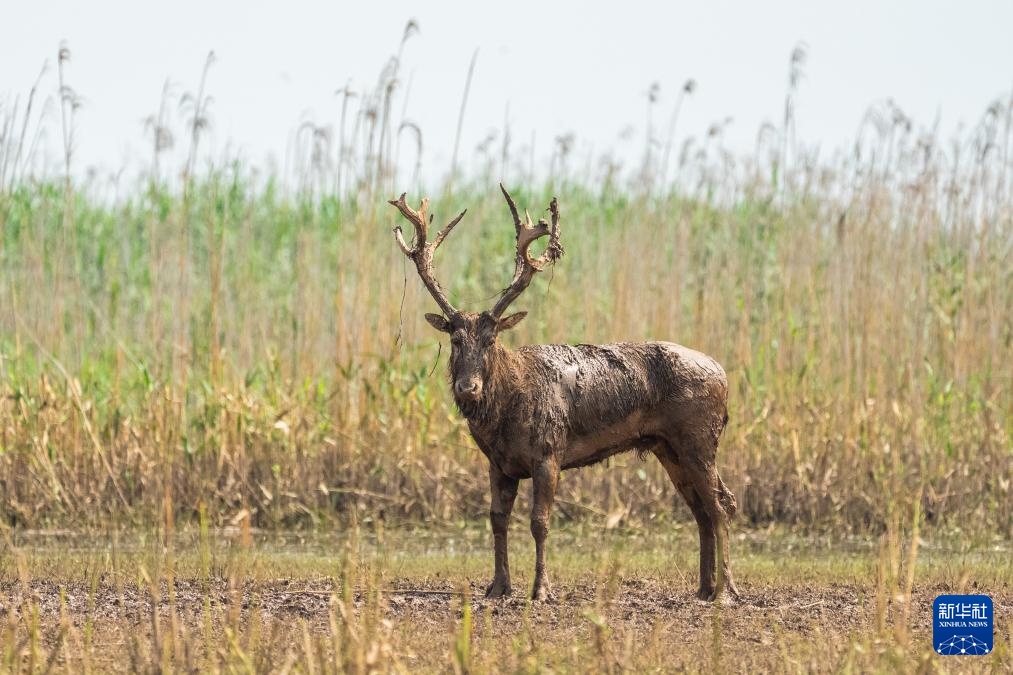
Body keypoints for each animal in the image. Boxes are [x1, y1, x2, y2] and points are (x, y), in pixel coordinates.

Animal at [388, 186, 739, 602]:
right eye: (456, 340)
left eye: (491, 340)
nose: (468, 388)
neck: (507, 408)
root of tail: (724, 376)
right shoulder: (498, 464)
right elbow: (497, 520)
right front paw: (498, 586)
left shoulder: (549, 452)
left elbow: (539, 522)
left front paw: (540, 589)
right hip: (668, 446)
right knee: (702, 509)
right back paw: (704, 588)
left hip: (699, 439)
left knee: (721, 505)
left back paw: (726, 590)